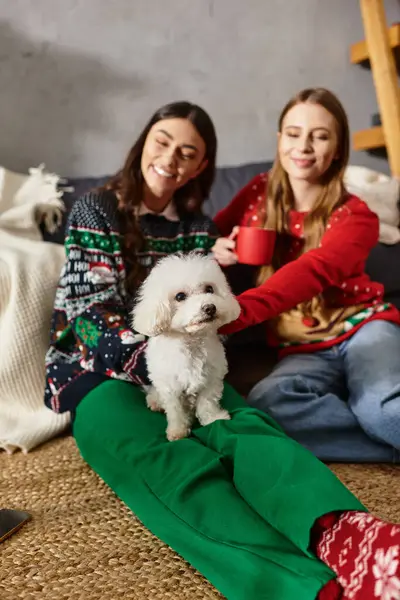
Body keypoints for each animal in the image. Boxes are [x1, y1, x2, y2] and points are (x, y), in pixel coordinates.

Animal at [133, 252, 241, 440]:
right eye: (180, 296)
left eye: (209, 289)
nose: (210, 307)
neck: (191, 342)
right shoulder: (170, 387)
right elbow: (175, 411)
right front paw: (177, 431)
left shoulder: (211, 379)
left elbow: (207, 402)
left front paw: (213, 419)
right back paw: (155, 401)